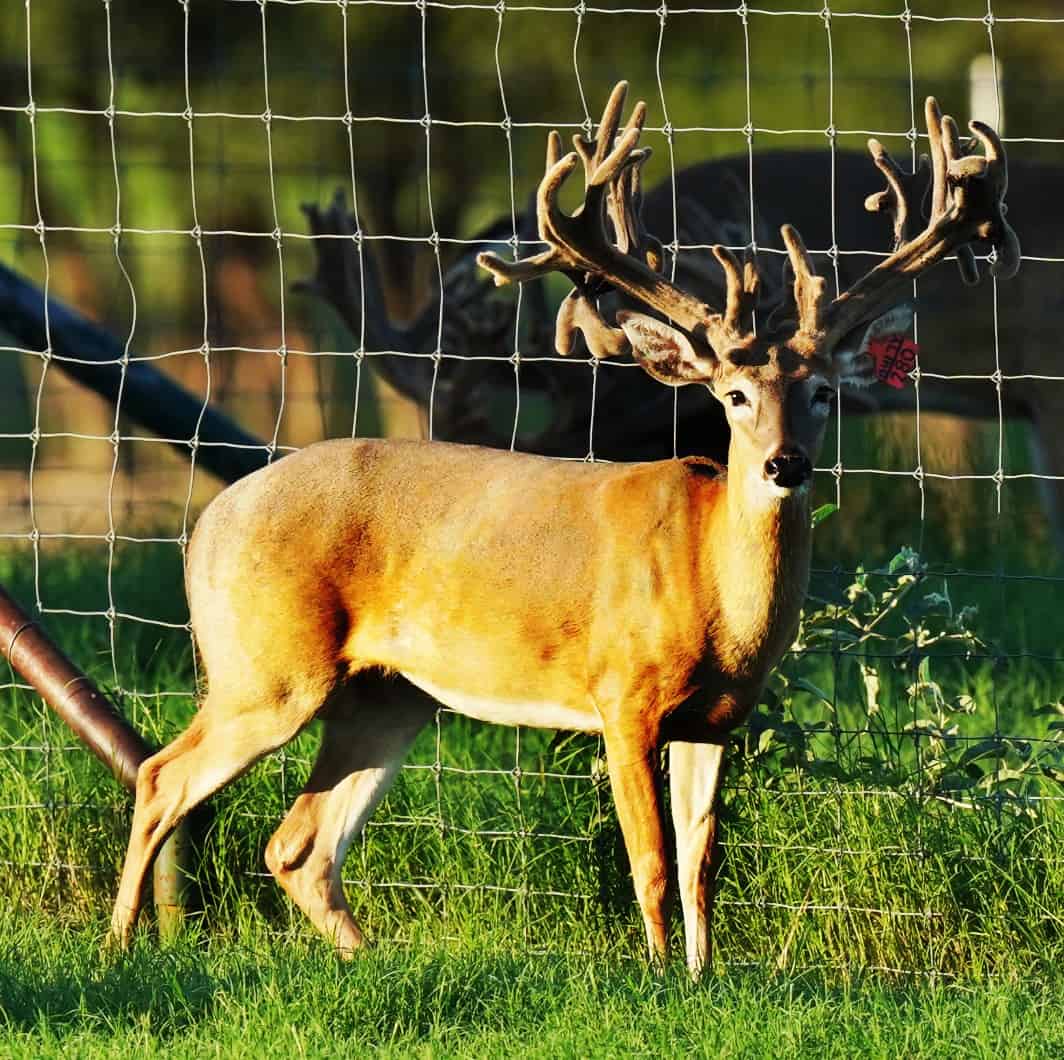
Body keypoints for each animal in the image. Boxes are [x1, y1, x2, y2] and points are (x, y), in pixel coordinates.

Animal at [110, 82, 1017, 974]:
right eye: (733, 395)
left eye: (824, 392)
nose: (784, 464)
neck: (714, 589)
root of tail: (211, 521)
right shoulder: (623, 693)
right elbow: (651, 859)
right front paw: (661, 979)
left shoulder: (716, 717)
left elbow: (702, 862)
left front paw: (706, 976)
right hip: (265, 665)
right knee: (163, 777)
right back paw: (119, 943)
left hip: (388, 694)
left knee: (299, 843)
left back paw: (371, 959)